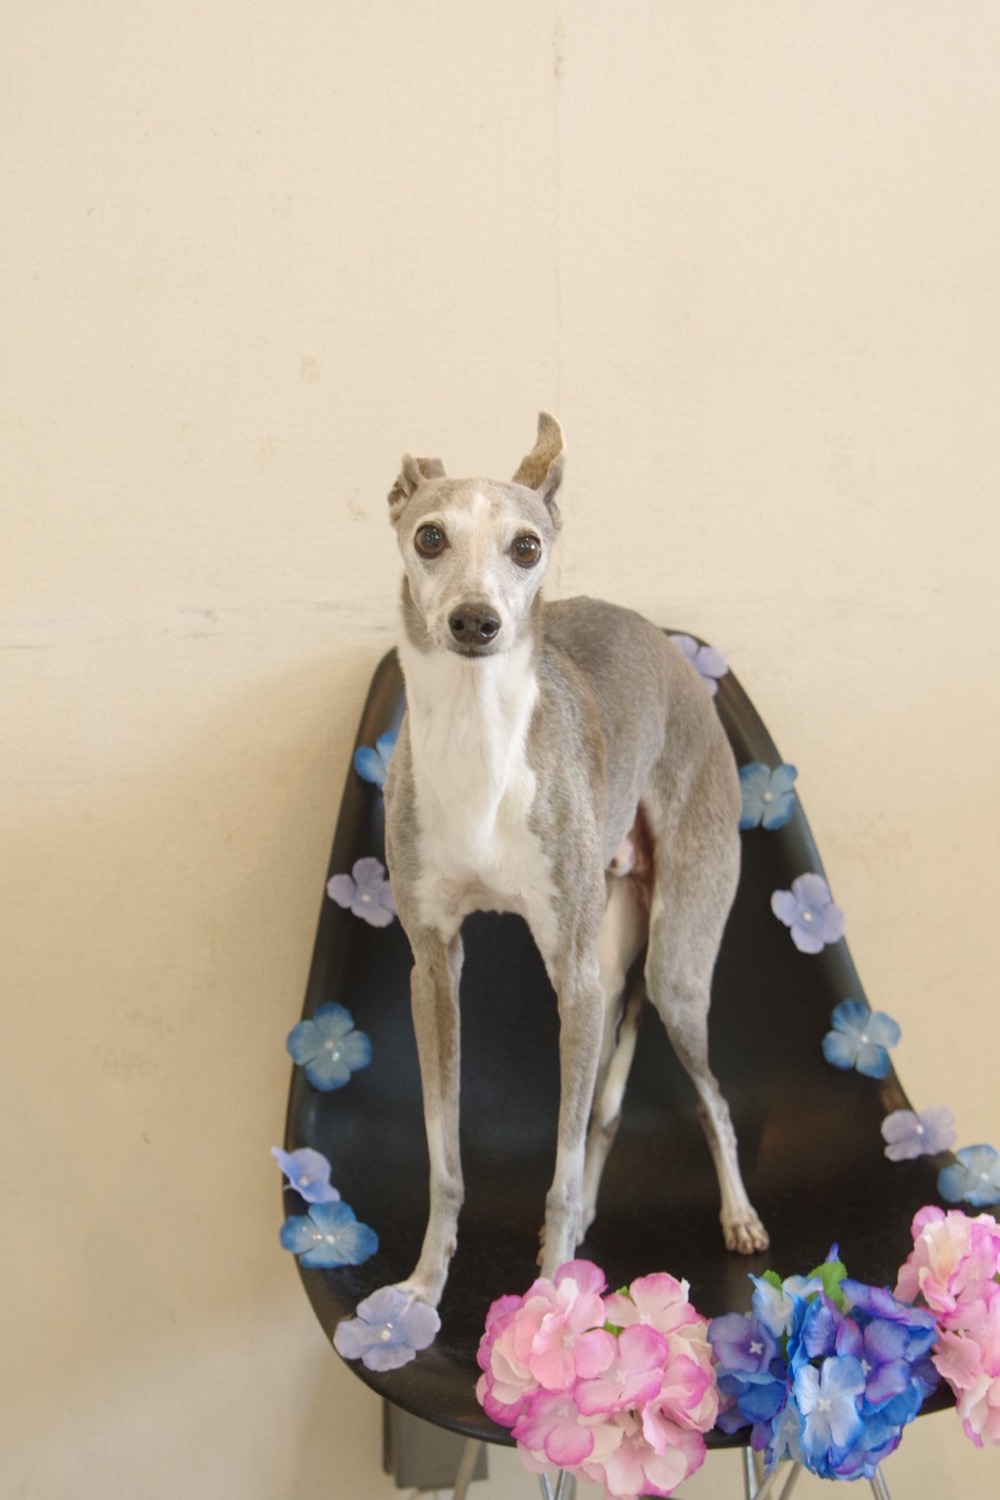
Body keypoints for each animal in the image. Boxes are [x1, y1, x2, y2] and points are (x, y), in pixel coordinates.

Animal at [383, 413, 768, 1310]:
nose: (476, 622)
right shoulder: (433, 966)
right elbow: (446, 1158)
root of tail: (682, 663)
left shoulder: (575, 978)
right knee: (607, 1106)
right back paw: (593, 1222)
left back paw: (736, 1216)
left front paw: (551, 1296)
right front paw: (425, 1282)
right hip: (615, 950)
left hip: (671, 969)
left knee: (713, 1099)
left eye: (526, 546)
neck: (477, 744)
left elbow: (554, 1167)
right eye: (429, 536)